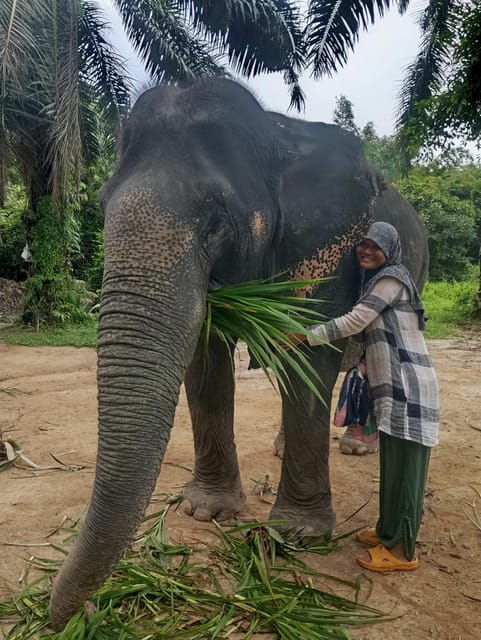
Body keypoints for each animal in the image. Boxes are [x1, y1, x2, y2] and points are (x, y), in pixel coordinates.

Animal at [49, 77, 428, 629]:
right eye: (99, 206)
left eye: (214, 222)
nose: (59, 619)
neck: (276, 134)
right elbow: (206, 357)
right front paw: (206, 511)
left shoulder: (326, 249)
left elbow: (308, 350)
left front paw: (295, 534)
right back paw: (283, 447)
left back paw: (358, 448)